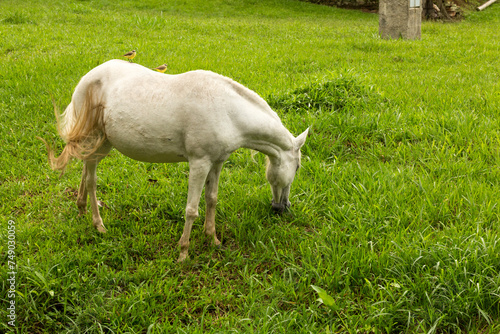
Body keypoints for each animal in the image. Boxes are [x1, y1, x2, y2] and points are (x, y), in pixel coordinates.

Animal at [44, 60, 308, 264]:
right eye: (297, 167)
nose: (282, 207)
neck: (228, 111)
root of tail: (86, 79)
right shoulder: (199, 163)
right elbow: (191, 209)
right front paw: (183, 253)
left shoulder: (217, 162)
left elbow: (212, 200)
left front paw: (213, 239)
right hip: (95, 140)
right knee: (91, 181)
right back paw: (98, 224)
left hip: (102, 143)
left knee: (84, 172)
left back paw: (80, 209)